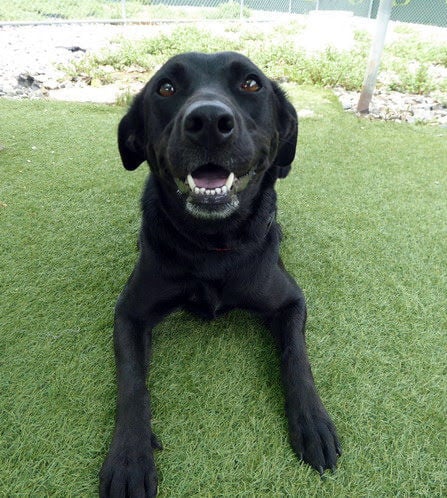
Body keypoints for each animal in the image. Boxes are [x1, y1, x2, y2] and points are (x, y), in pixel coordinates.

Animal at [100, 52, 342, 496]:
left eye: (251, 84)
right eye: (166, 88)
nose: (209, 120)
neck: (211, 244)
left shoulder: (291, 301)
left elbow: (297, 358)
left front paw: (314, 424)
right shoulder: (129, 313)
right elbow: (132, 384)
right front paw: (128, 457)